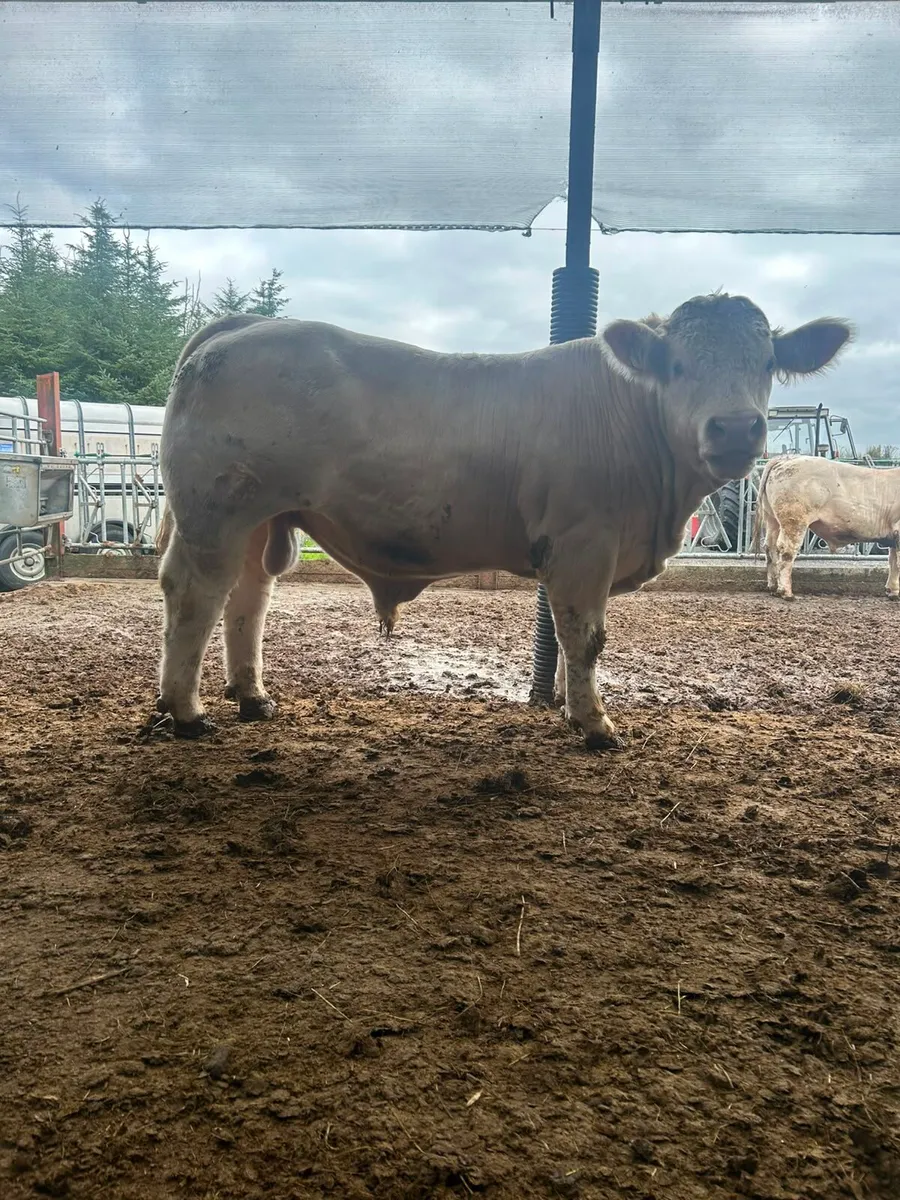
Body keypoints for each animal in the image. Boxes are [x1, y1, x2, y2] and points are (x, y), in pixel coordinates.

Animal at [154, 294, 851, 749]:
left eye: (766, 363)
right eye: (677, 365)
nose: (734, 428)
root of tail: (243, 328)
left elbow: (573, 636)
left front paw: (571, 709)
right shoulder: (583, 542)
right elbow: (584, 636)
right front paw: (595, 725)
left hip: (260, 518)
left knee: (248, 597)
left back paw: (252, 697)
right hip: (216, 513)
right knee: (195, 595)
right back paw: (185, 712)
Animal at [752, 455, 900, 601]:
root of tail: (785, 458)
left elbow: (892, 561)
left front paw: (892, 591)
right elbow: (897, 563)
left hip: (772, 519)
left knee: (770, 548)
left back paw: (773, 586)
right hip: (794, 520)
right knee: (787, 550)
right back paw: (786, 592)